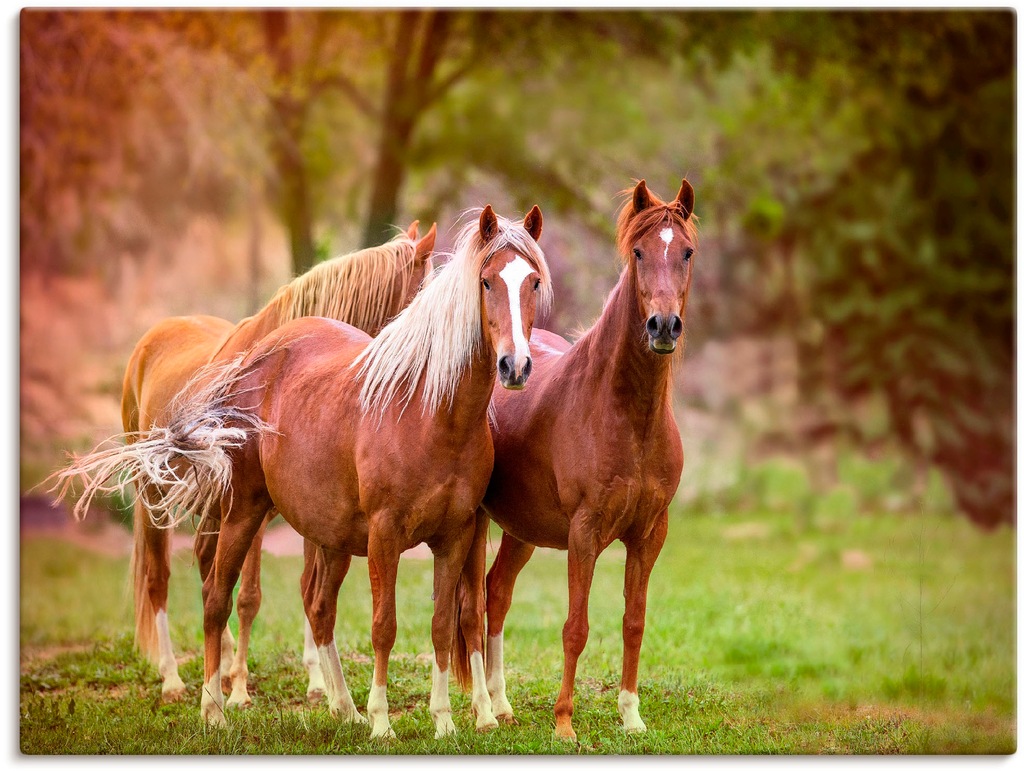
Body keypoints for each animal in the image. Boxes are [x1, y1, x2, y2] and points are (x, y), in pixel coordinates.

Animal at [52, 221, 436, 704]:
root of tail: (153, 337)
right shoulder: (253, 505)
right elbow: (250, 595)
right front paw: (237, 689)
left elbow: (303, 589)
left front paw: (317, 685)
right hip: (155, 493)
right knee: (160, 578)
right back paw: (175, 678)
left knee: (205, 566)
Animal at [110, 204, 552, 741]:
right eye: (486, 282)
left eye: (533, 282)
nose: (515, 366)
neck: (433, 413)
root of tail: (250, 360)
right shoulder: (385, 534)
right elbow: (384, 626)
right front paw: (382, 722)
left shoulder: (455, 536)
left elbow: (442, 625)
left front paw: (444, 721)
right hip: (235, 511)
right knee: (210, 595)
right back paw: (209, 704)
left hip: (327, 531)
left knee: (318, 607)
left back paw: (341, 706)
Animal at [460, 179, 700, 741]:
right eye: (638, 253)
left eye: (685, 252)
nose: (663, 326)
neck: (627, 416)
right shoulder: (584, 533)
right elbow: (576, 627)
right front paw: (564, 723)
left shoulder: (649, 534)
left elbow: (633, 622)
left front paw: (631, 715)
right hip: (476, 524)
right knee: (472, 608)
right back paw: (485, 712)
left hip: (521, 530)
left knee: (496, 593)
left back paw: (503, 705)